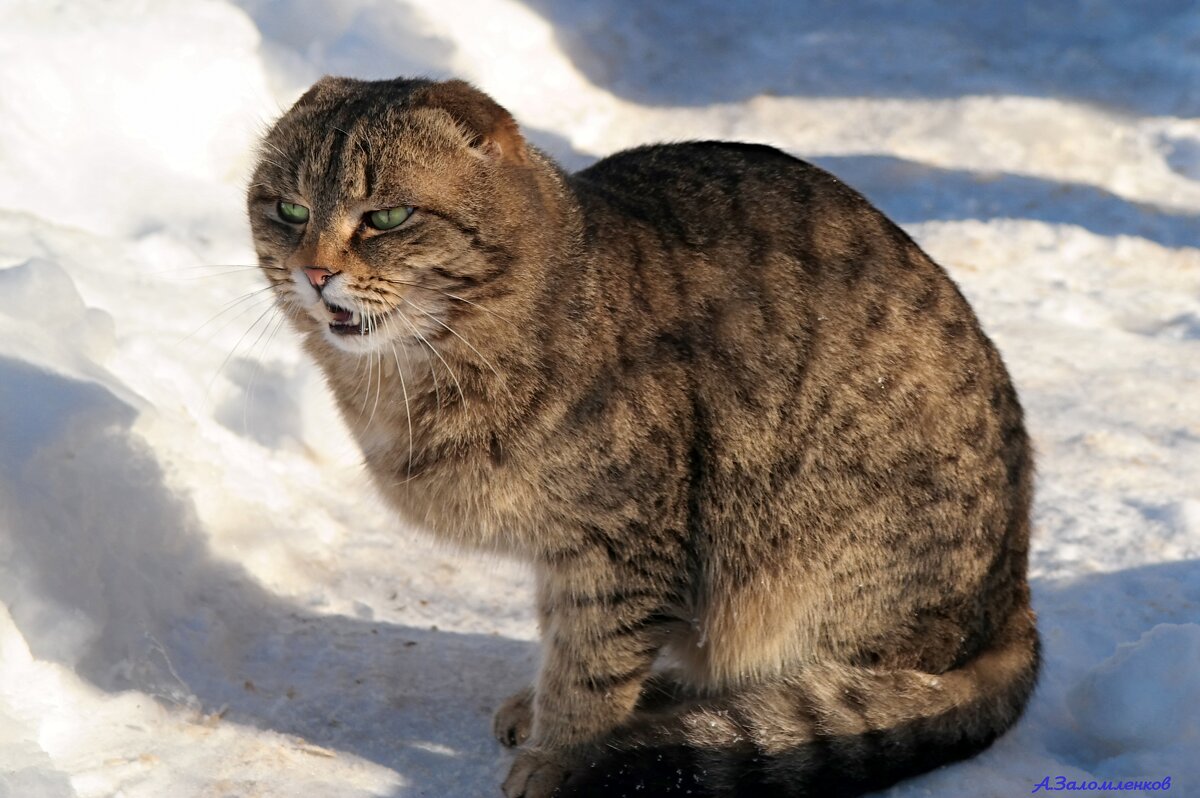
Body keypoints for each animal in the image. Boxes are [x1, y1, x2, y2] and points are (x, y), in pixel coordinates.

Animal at [248, 76, 1036, 796]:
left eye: (387, 216)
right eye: (290, 210)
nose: (313, 271)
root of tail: (1014, 601)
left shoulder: (620, 545)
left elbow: (593, 668)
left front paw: (563, 758)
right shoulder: (574, 553)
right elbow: (569, 642)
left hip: (814, 564)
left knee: (823, 688)